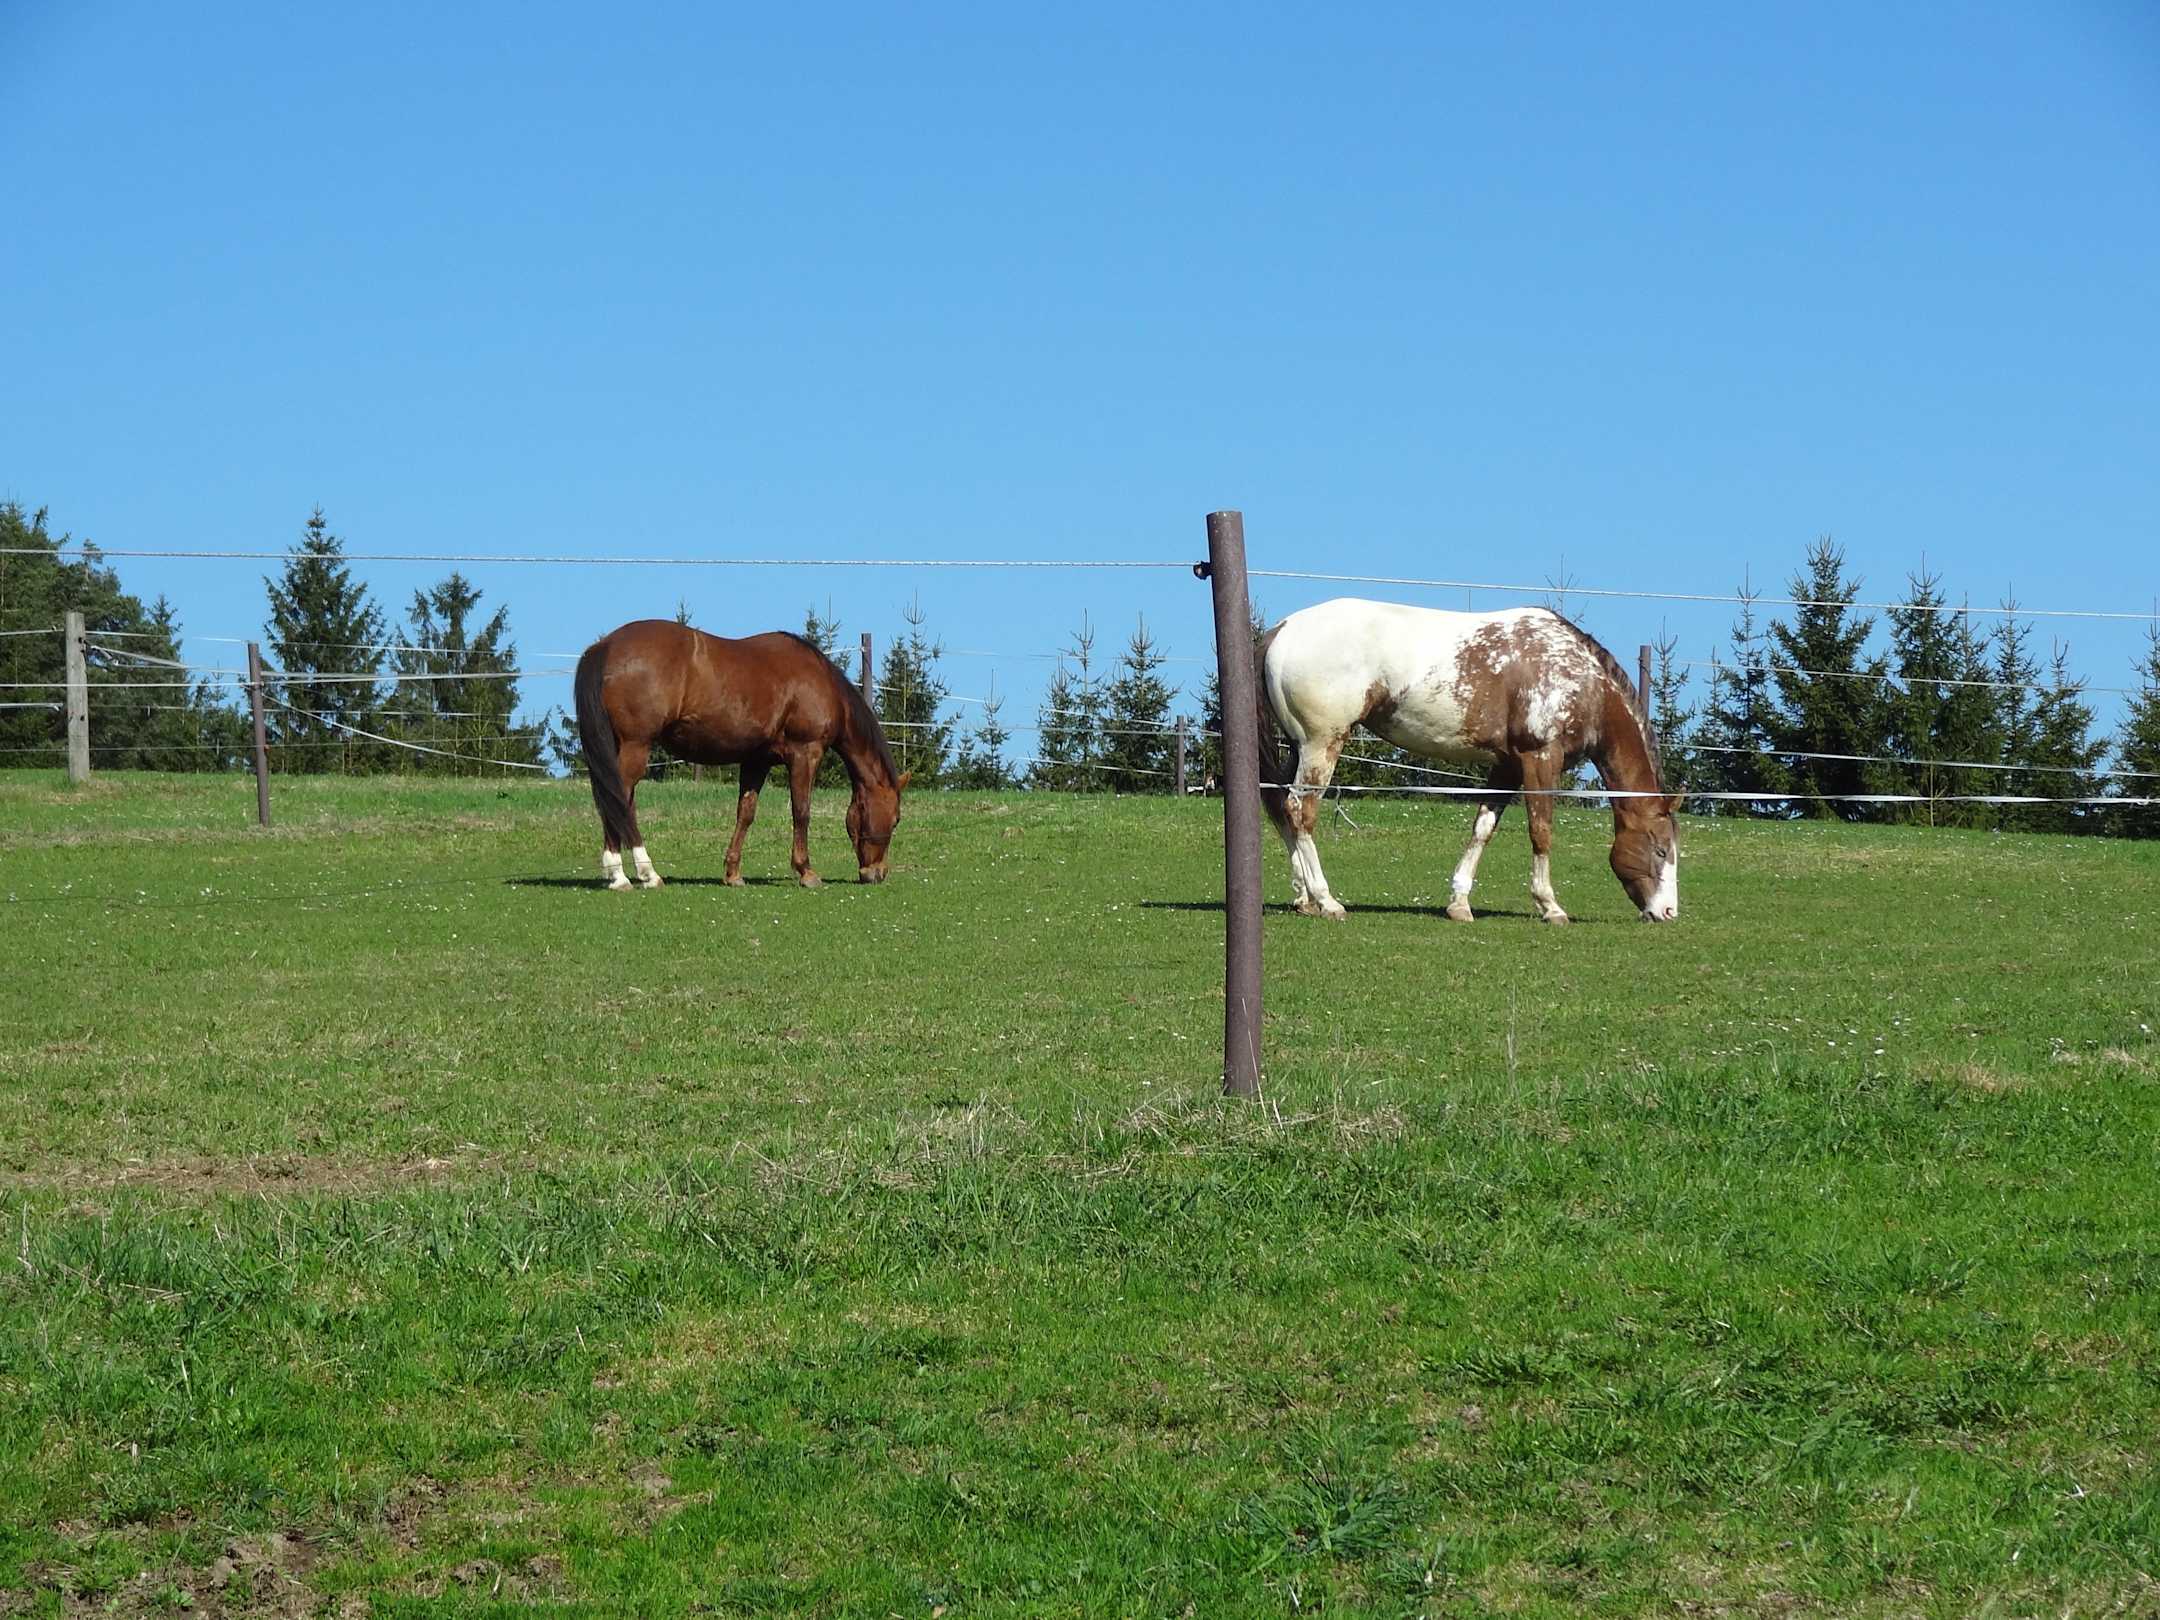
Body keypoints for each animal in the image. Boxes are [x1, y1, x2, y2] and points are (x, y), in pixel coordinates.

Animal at [573, 620, 909, 891]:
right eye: (895, 820)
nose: (877, 874)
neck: (819, 682)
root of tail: (605, 646)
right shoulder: (805, 753)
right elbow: (801, 812)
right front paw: (806, 872)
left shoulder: (756, 761)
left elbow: (745, 813)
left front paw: (733, 873)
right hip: (635, 745)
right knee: (618, 798)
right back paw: (634, 875)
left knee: (616, 801)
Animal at [1255, 598, 1680, 924]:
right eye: (1661, 849)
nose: (1669, 912)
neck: (1576, 675)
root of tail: (1283, 629)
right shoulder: (1540, 757)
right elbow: (1541, 831)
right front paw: (1550, 906)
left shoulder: (1506, 766)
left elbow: (1483, 829)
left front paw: (1459, 903)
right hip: (1321, 744)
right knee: (1301, 810)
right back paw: (1326, 900)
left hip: (1299, 746)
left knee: (1281, 808)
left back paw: (1304, 898)